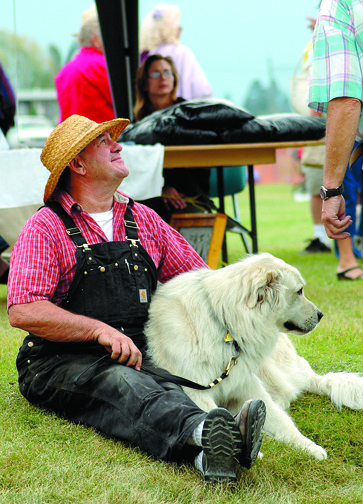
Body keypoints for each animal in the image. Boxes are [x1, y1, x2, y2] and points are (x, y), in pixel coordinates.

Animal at [145, 254, 363, 458]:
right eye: (299, 291)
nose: (320, 315)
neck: (225, 322)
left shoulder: (246, 383)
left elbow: (280, 419)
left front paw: (309, 446)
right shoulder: (195, 390)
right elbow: (207, 413)